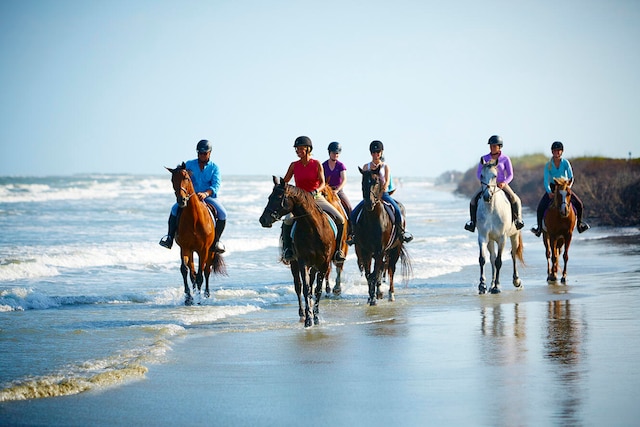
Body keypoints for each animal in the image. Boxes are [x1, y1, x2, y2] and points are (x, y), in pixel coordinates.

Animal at [166, 162, 226, 306]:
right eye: (172, 180)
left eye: (186, 178)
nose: (181, 201)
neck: (194, 218)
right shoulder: (185, 248)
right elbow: (185, 270)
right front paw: (188, 297)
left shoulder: (204, 250)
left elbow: (200, 275)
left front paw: (199, 299)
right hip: (192, 251)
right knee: (192, 272)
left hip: (210, 252)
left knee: (206, 271)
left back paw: (206, 295)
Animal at [258, 176, 344, 328]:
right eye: (269, 197)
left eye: (278, 197)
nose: (263, 219)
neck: (313, 228)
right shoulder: (303, 262)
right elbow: (305, 289)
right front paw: (309, 319)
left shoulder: (323, 264)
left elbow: (317, 289)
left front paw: (316, 317)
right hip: (294, 263)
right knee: (298, 286)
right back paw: (302, 314)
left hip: (315, 266)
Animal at [352, 166, 412, 304]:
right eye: (363, 182)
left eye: (377, 181)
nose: (369, 203)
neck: (373, 219)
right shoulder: (366, 251)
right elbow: (369, 275)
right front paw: (371, 296)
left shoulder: (380, 250)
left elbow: (375, 274)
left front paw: (373, 298)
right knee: (382, 269)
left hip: (395, 249)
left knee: (390, 270)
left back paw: (391, 294)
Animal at [476, 160, 524, 294]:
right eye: (481, 175)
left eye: (495, 176)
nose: (487, 196)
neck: (491, 209)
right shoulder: (483, 237)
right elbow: (483, 259)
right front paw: (482, 285)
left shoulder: (502, 238)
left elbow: (499, 261)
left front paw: (497, 287)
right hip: (491, 240)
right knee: (492, 258)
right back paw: (491, 284)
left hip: (514, 236)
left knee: (513, 254)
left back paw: (516, 281)